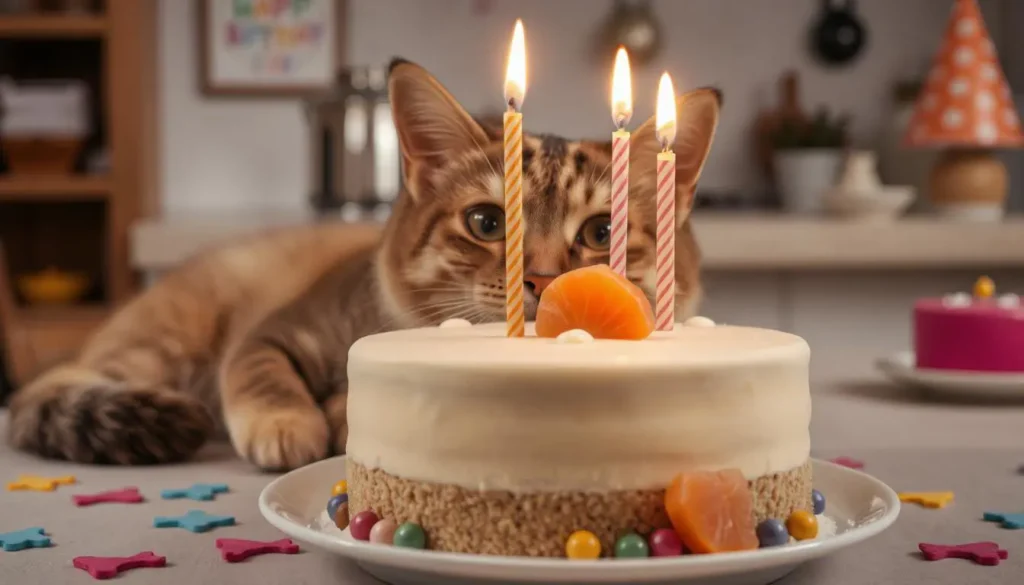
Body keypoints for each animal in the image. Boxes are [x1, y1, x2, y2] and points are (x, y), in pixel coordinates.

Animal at [8, 59, 724, 471]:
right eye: (487, 223)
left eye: (603, 232)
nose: (545, 281)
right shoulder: (271, 330)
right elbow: (262, 372)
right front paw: (287, 423)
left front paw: (332, 411)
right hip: (167, 339)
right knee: (43, 393)